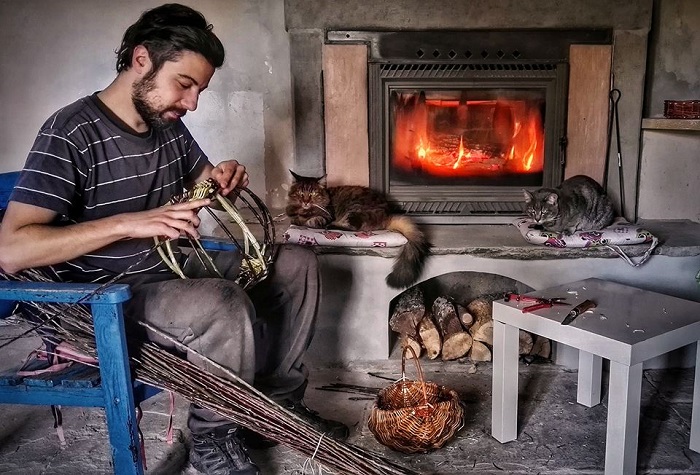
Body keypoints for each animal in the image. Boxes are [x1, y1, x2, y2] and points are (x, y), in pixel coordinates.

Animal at [286, 171, 430, 290]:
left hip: (354, 209)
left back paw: (332, 225)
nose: (305, 201)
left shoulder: (326, 215)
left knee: (352, 227)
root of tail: (387, 215)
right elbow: (295, 218)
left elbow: (314, 219)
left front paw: (310, 220)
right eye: (300, 193)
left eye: (313, 193)